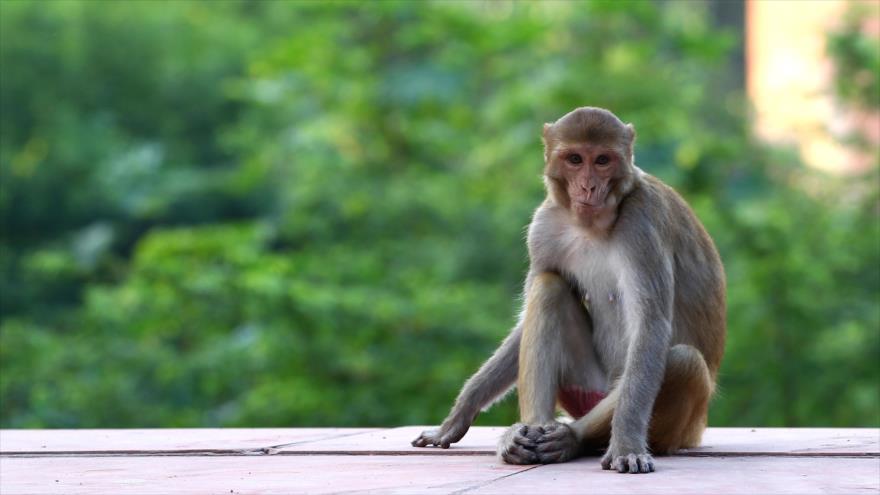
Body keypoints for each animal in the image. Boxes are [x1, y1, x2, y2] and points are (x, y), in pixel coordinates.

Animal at [412, 107, 725, 474]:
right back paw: (529, 431)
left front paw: (626, 445)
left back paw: (573, 439)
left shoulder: (643, 223)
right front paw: (459, 414)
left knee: (681, 361)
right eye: (575, 159)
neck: (593, 225)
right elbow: (528, 316)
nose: (589, 186)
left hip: (674, 426)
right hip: (585, 388)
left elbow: (650, 326)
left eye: (602, 160)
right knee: (550, 288)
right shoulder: (544, 227)